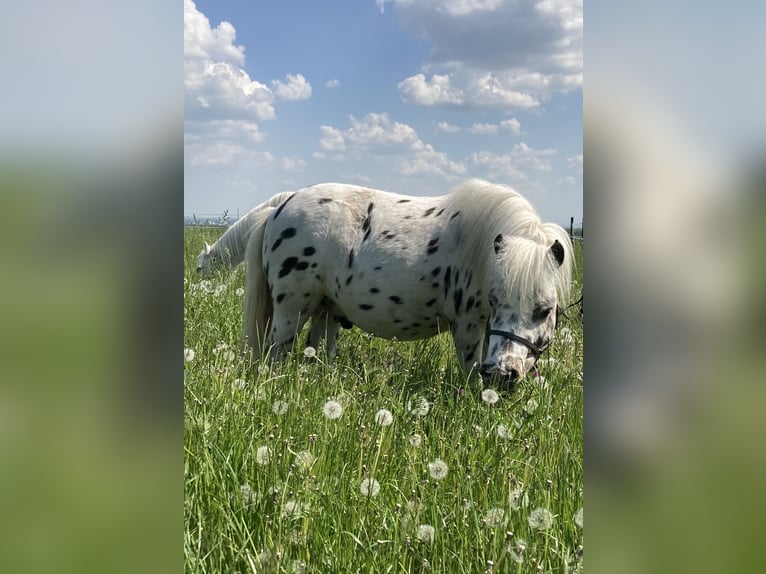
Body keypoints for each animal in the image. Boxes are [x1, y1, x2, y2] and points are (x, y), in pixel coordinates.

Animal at [241, 179, 574, 385]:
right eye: (495, 300)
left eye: (545, 310)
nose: (503, 374)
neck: (478, 248)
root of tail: (280, 207)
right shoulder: (468, 324)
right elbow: (470, 371)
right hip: (291, 312)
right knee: (274, 353)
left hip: (326, 310)